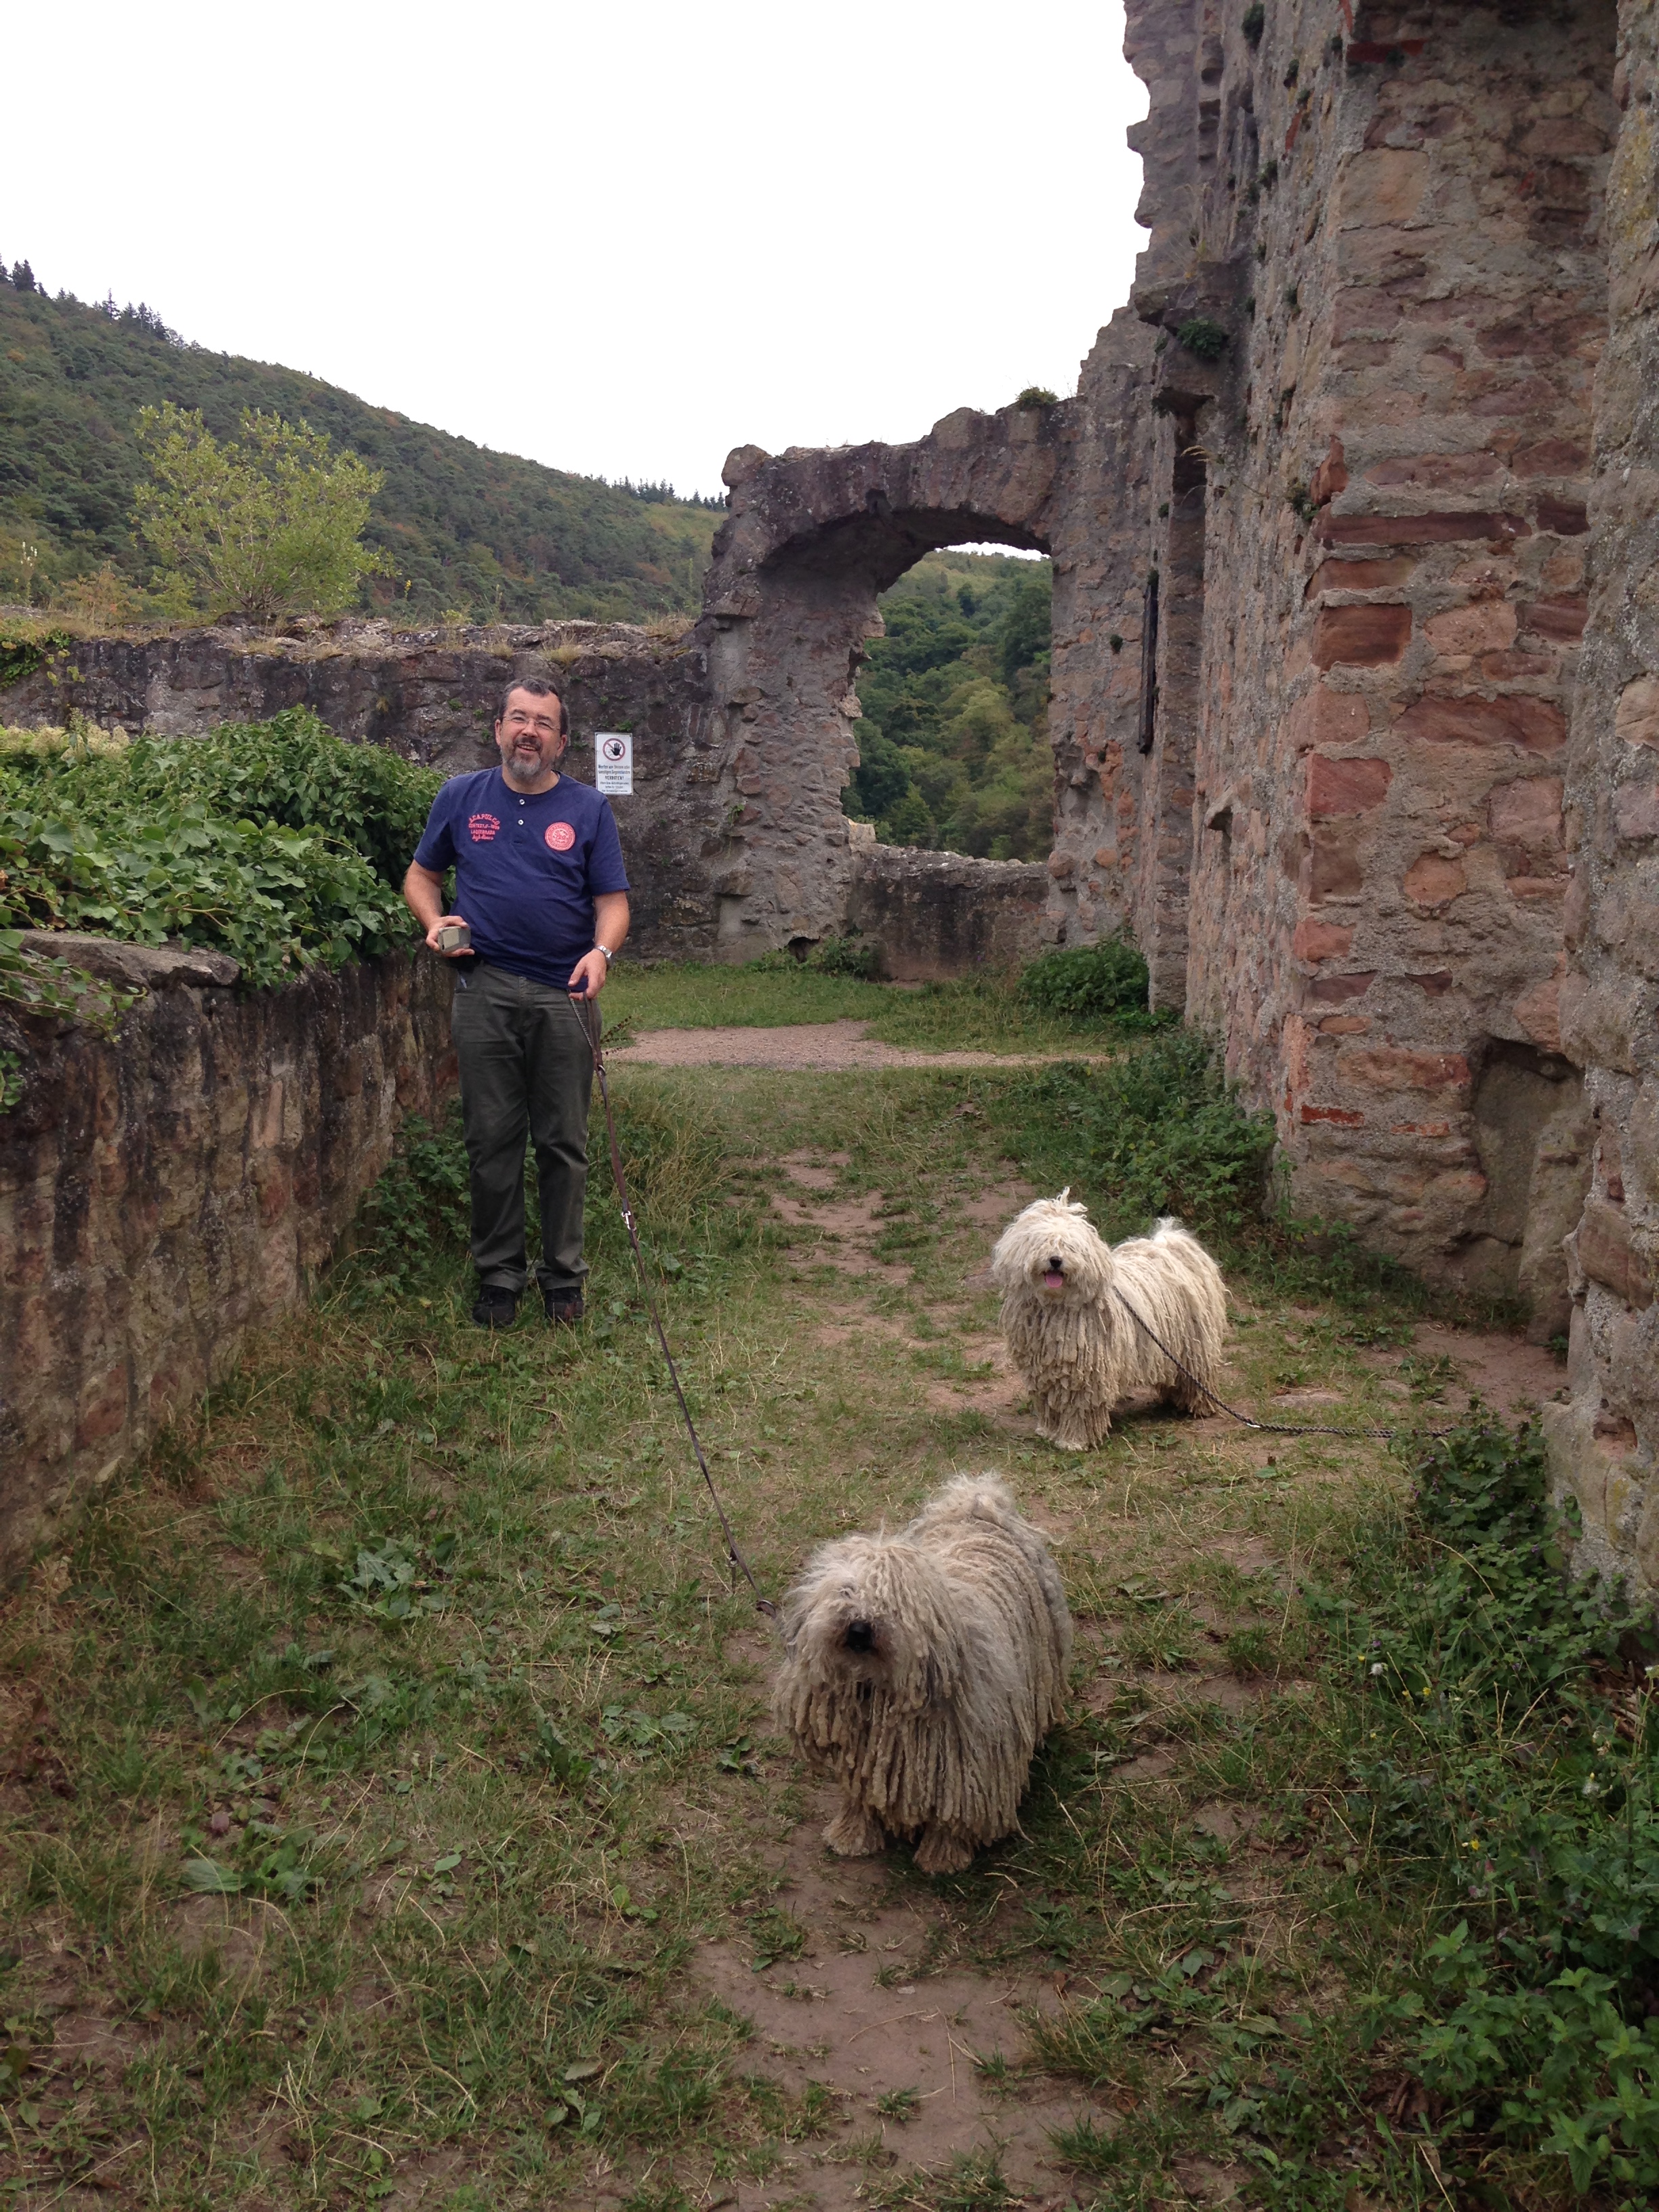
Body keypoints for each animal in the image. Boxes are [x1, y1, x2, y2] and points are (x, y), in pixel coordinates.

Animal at [773, 1476, 1072, 1875]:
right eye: (846, 1591)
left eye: (891, 1605)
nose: (859, 1629)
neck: (882, 1686)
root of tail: (978, 1507)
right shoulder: (864, 1750)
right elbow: (860, 1792)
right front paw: (851, 1834)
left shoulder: (965, 1759)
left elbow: (955, 1812)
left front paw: (943, 1856)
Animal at [990, 1193, 1227, 1450]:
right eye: (1042, 1242)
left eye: (1070, 1246)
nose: (1055, 1260)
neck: (1056, 1305)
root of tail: (1171, 1249)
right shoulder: (1043, 1370)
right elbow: (1049, 1401)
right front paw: (1049, 1430)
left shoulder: (1086, 1373)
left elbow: (1079, 1406)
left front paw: (1074, 1441)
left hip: (1193, 1345)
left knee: (1197, 1373)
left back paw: (1199, 1406)